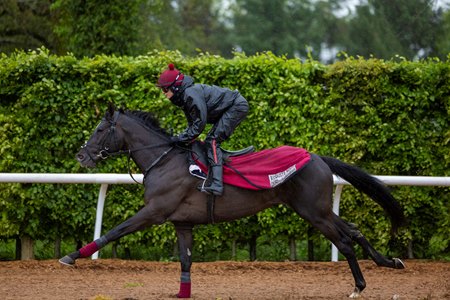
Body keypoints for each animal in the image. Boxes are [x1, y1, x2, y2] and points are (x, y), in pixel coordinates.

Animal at [58, 103, 406, 298]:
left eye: (100, 129)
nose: (81, 155)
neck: (165, 159)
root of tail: (318, 157)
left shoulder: (155, 211)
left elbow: (115, 231)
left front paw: (71, 256)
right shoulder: (182, 222)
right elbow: (185, 260)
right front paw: (182, 293)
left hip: (313, 212)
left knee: (345, 241)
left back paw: (359, 286)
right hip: (316, 208)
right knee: (354, 230)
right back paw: (390, 261)